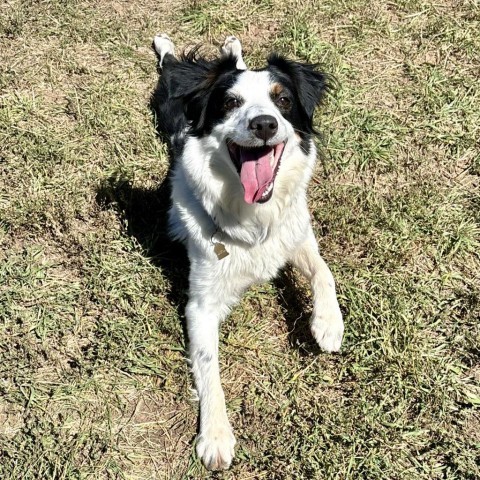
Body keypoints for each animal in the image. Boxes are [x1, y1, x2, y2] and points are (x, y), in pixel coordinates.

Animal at [152, 35, 344, 470]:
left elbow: (323, 270)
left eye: (283, 100)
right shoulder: (200, 304)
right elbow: (209, 367)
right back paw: (166, 44)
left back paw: (231, 44)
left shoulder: (295, 233)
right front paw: (215, 436)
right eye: (230, 103)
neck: (253, 217)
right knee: (171, 64)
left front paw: (328, 324)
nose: (265, 124)